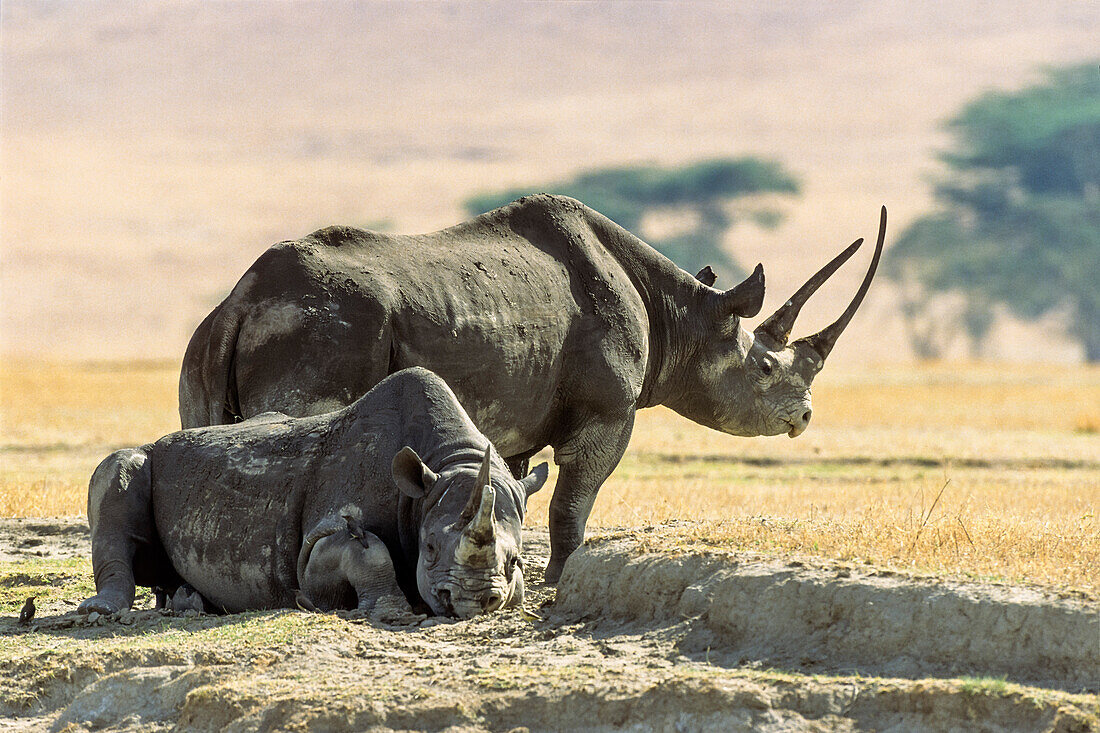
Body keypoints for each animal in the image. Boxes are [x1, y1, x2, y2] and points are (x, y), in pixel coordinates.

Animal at [75, 365, 547, 616]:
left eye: (516, 560)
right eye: (429, 548)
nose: (470, 602)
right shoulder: (317, 540)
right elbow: (367, 549)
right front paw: (392, 612)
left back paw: (189, 601)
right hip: (146, 458)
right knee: (118, 474)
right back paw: (103, 612)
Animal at [182, 195, 884, 581]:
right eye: (765, 371)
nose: (804, 417)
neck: (681, 317)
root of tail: (240, 303)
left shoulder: (518, 414)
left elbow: (515, 492)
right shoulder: (606, 412)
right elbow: (573, 500)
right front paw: (562, 579)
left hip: (212, 339)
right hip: (320, 329)